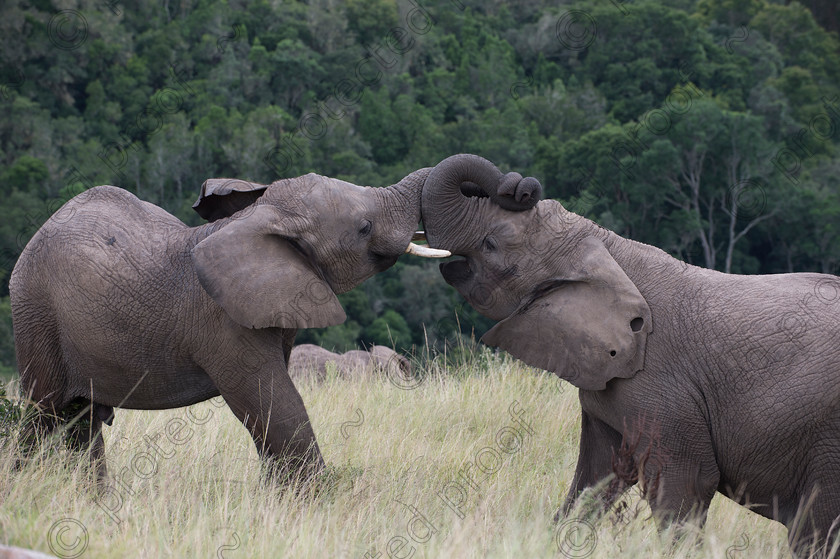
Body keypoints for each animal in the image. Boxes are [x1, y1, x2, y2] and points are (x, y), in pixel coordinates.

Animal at [9, 168, 450, 484]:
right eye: (364, 227)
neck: (256, 220)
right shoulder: (225, 322)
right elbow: (271, 403)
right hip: (36, 314)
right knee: (43, 414)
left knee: (79, 421)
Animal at [424, 153, 840, 556]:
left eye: (491, 245)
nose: (519, 187)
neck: (605, 248)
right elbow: (595, 479)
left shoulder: (661, 388)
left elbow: (685, 484)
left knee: (814, 528)